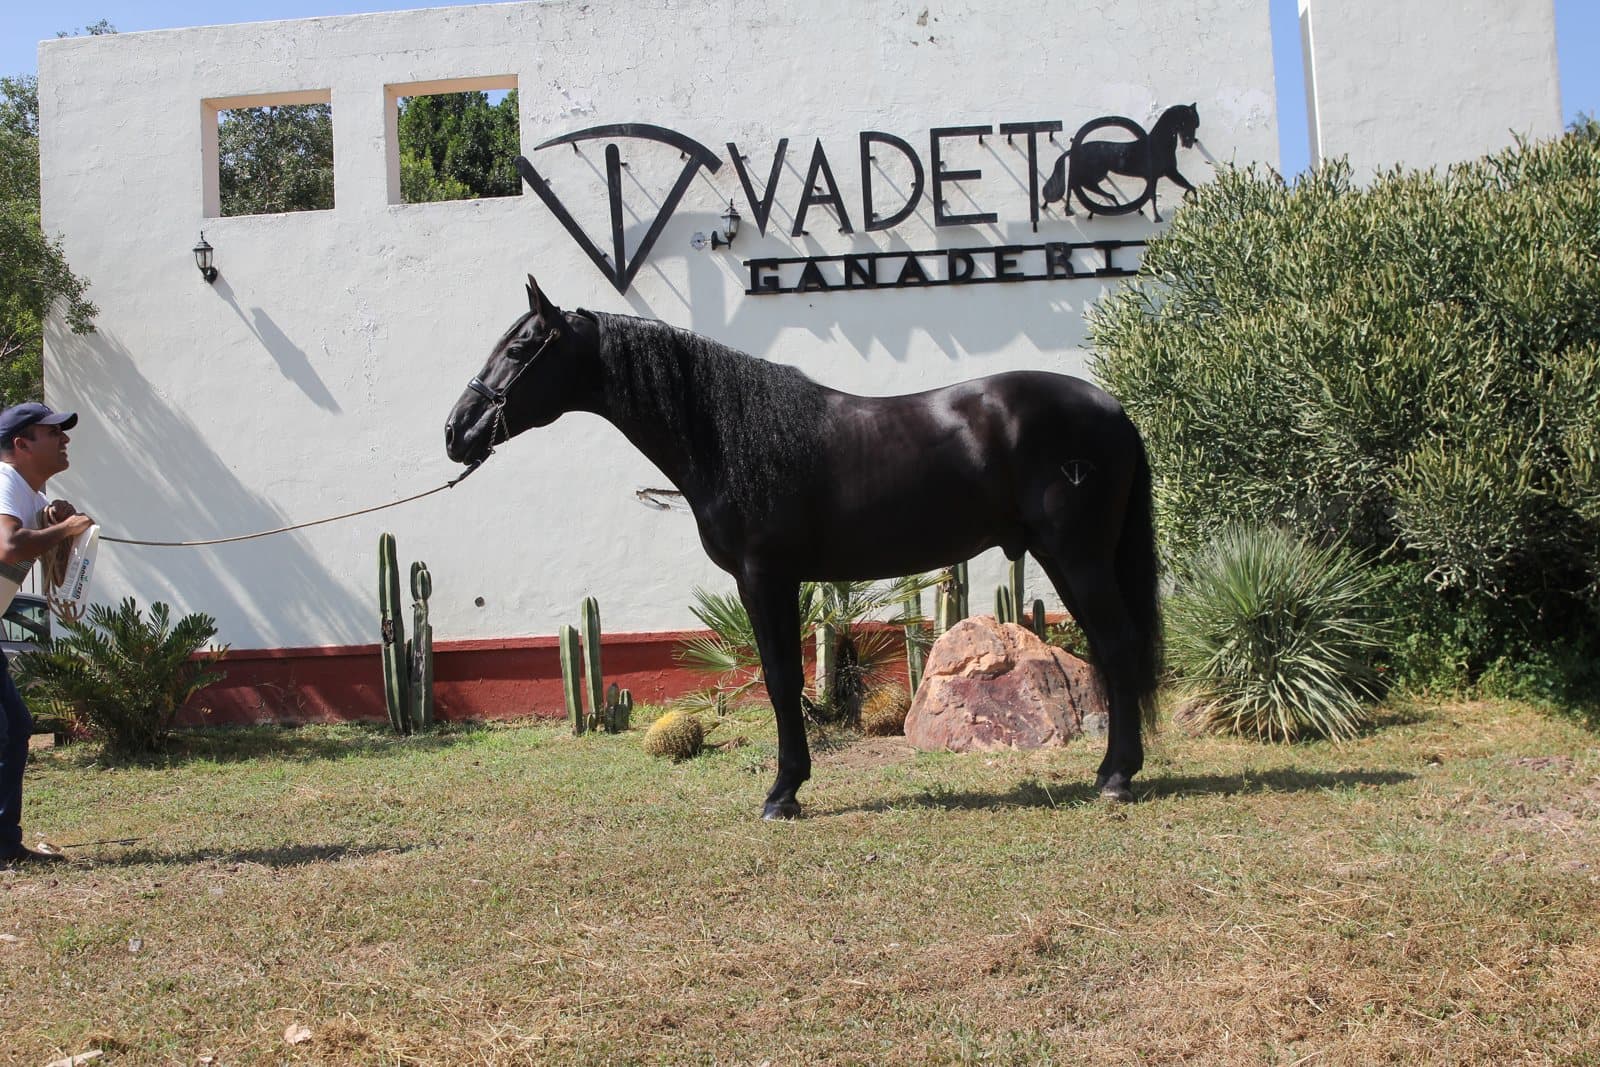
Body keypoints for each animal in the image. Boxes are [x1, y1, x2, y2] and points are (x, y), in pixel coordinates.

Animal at [445, 278, 1161, 819]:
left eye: (521, 345)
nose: (456, 430)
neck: (729, 437)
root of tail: (1114, 411)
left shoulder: (765, 577)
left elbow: (781, 678)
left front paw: (783, 793)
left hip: (1078, 556)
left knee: (1118, 645)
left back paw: (1117, 778)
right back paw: (1109, 771)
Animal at [1042, 103, 1200, 221]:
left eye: (1196, 124)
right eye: (1188, 121)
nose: (1189, 143)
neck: (1158, 144)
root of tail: (1074, 150)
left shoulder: (1167, 173)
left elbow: (1188, 186)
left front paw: (1193, 201)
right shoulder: (1162, 173)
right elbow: (1154, 196)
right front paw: (1158, 217)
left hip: (1096, 174)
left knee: (1081, 185)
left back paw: (1113, 202)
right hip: (1094, 173)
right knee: (1079, 184)